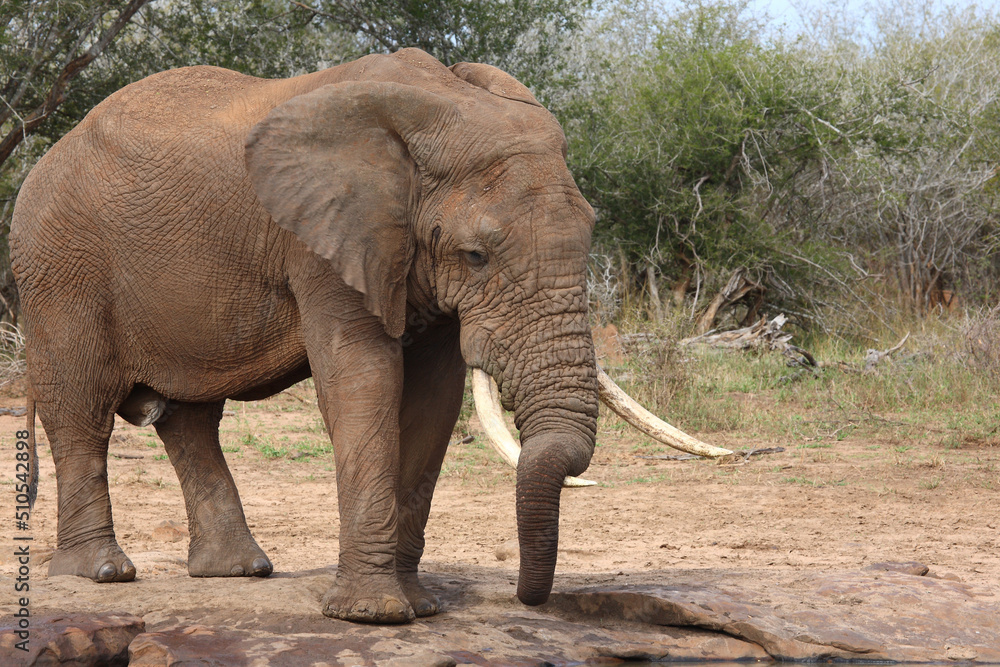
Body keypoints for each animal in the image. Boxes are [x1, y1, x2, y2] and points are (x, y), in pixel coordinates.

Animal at [9, 48, 728, 628]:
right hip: (60, 271)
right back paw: (101, 573)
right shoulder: (324, 242)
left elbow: (432, 400)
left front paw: (421, 607)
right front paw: (374, 615)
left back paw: (239, 570)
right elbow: (363, 381)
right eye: (475, 255)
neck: (438, 104)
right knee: (82, 412)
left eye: (589, 232)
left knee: (189, 421)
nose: (531, 598)